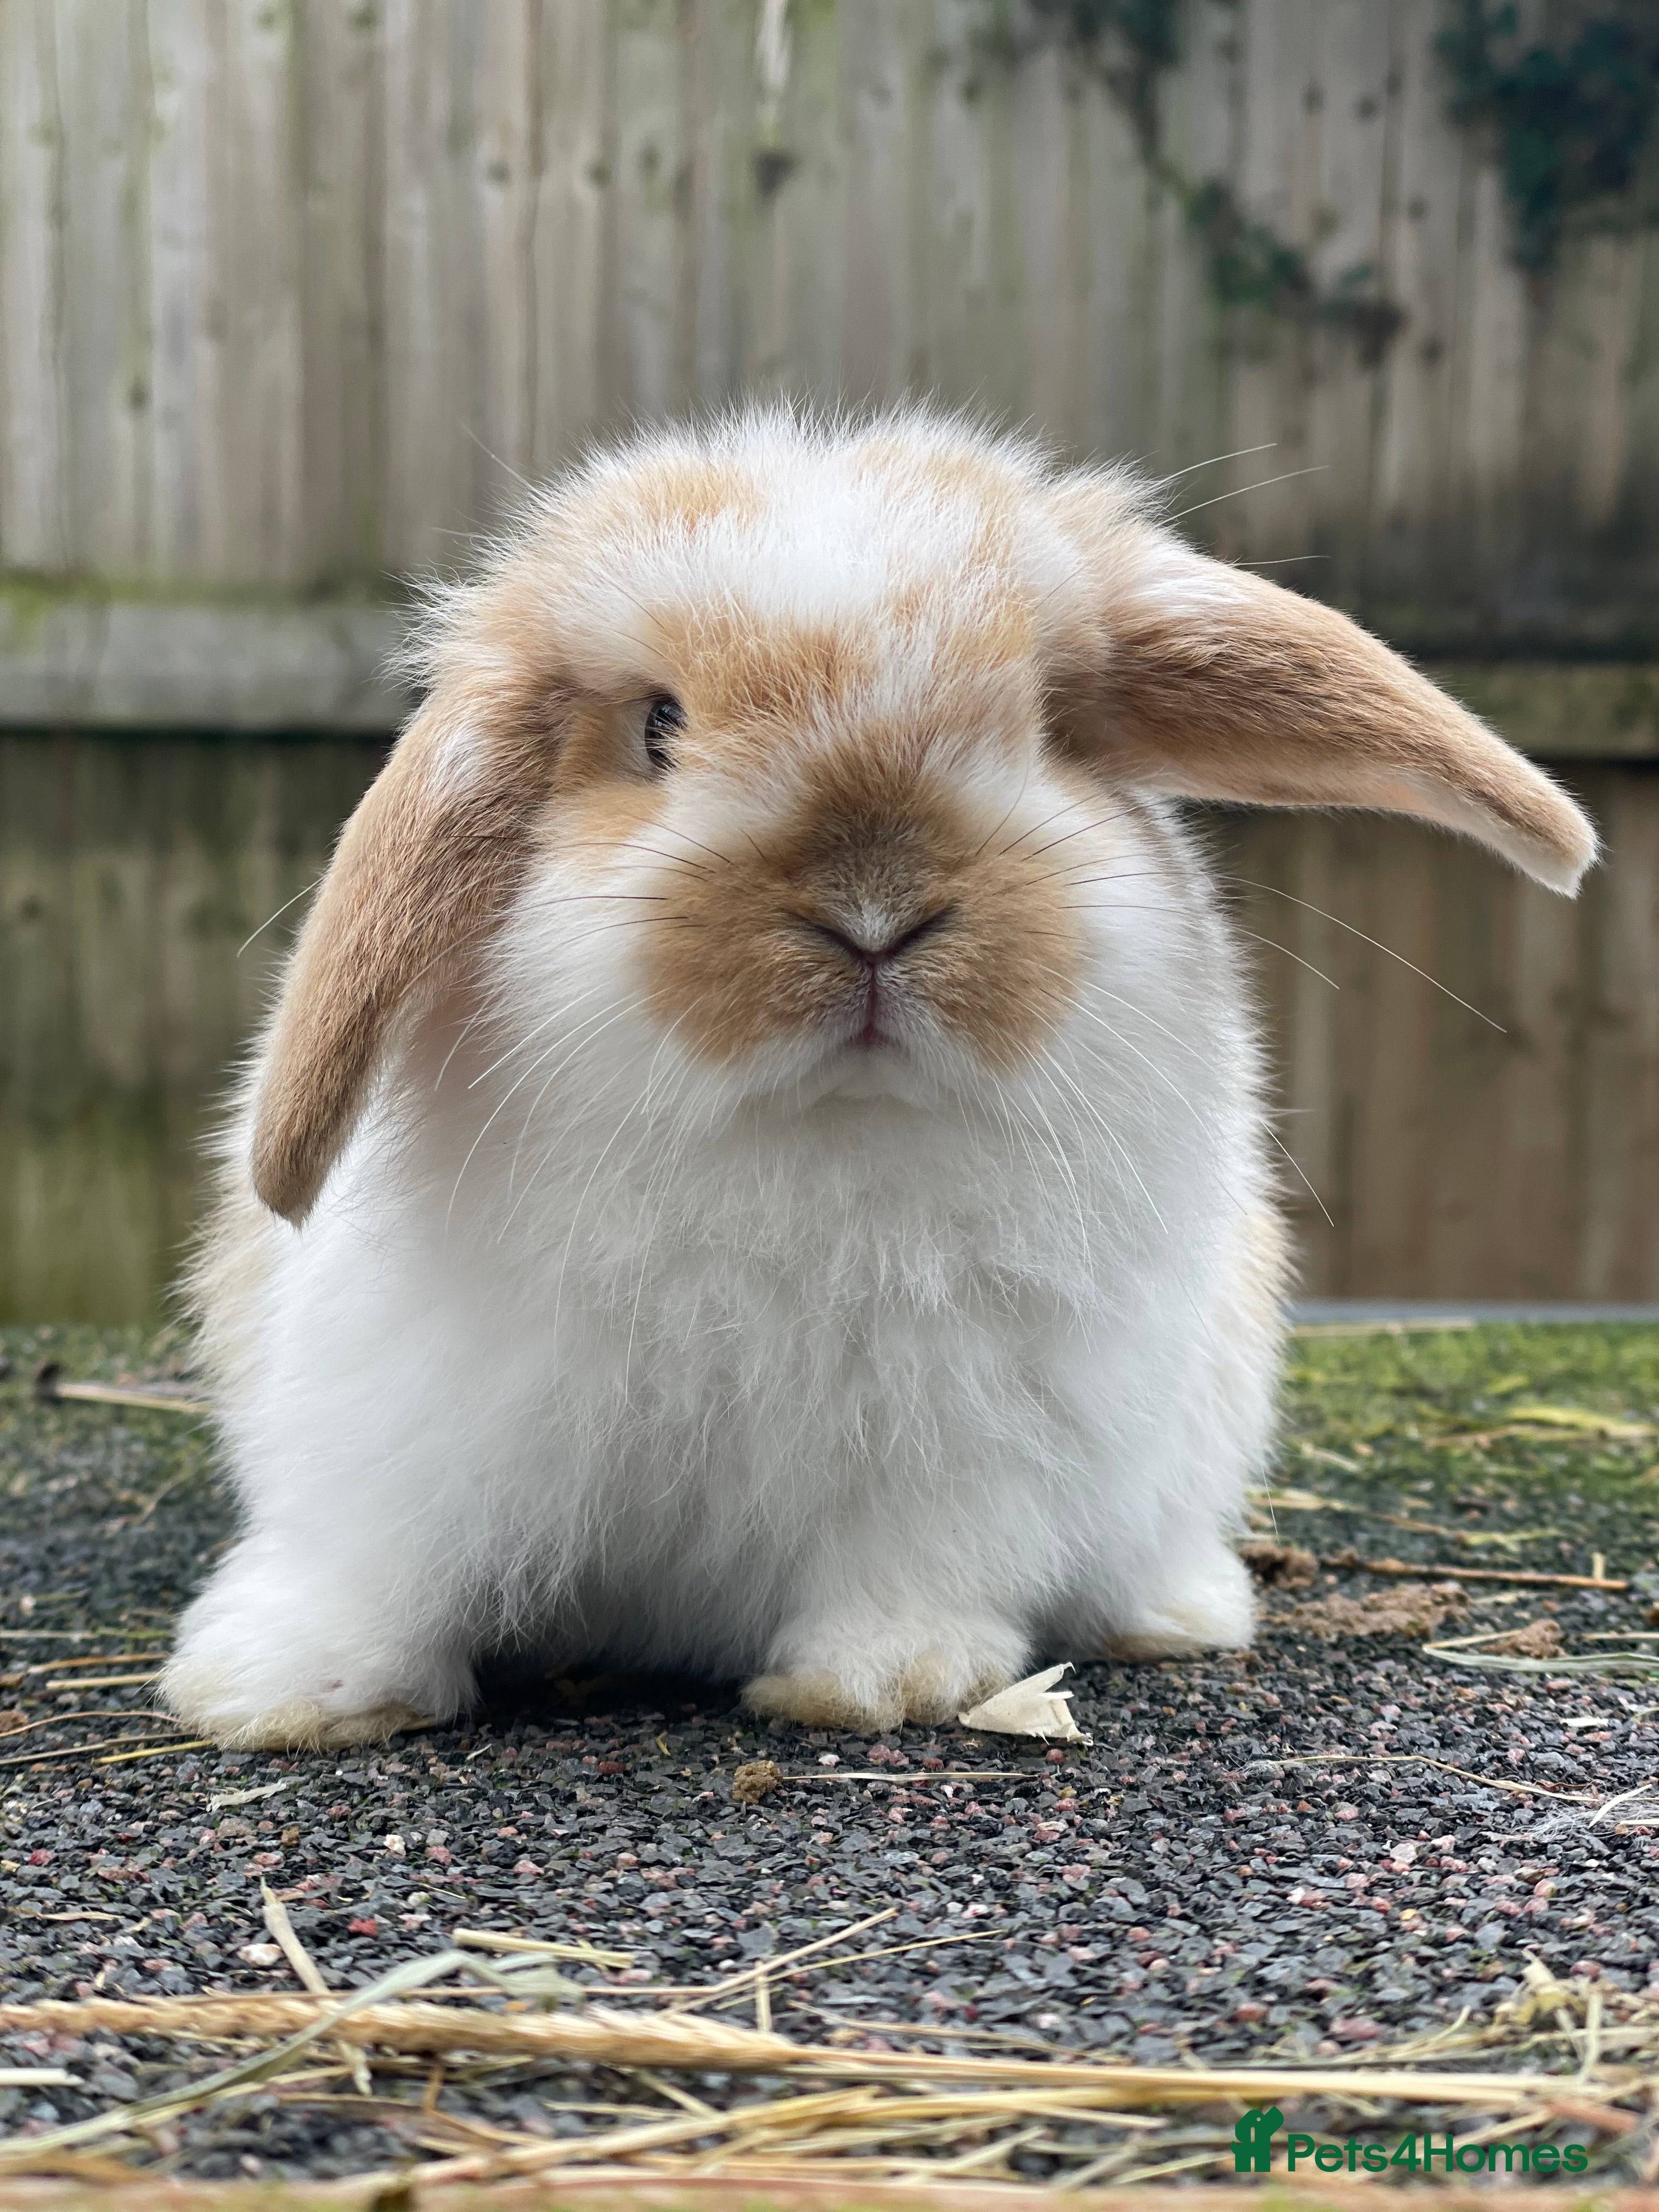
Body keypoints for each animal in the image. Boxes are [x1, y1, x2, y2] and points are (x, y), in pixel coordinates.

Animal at [160, 407, 1596, 1750]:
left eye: (1044, 729)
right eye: (660, 727)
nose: (873, 913)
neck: (815, 1133)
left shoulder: (967, 1438)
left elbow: (913, 1560)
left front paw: (882, 1680)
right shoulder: (406, 1412)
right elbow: (378, 1563)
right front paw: (282, 1691)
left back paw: (1175, 1612)